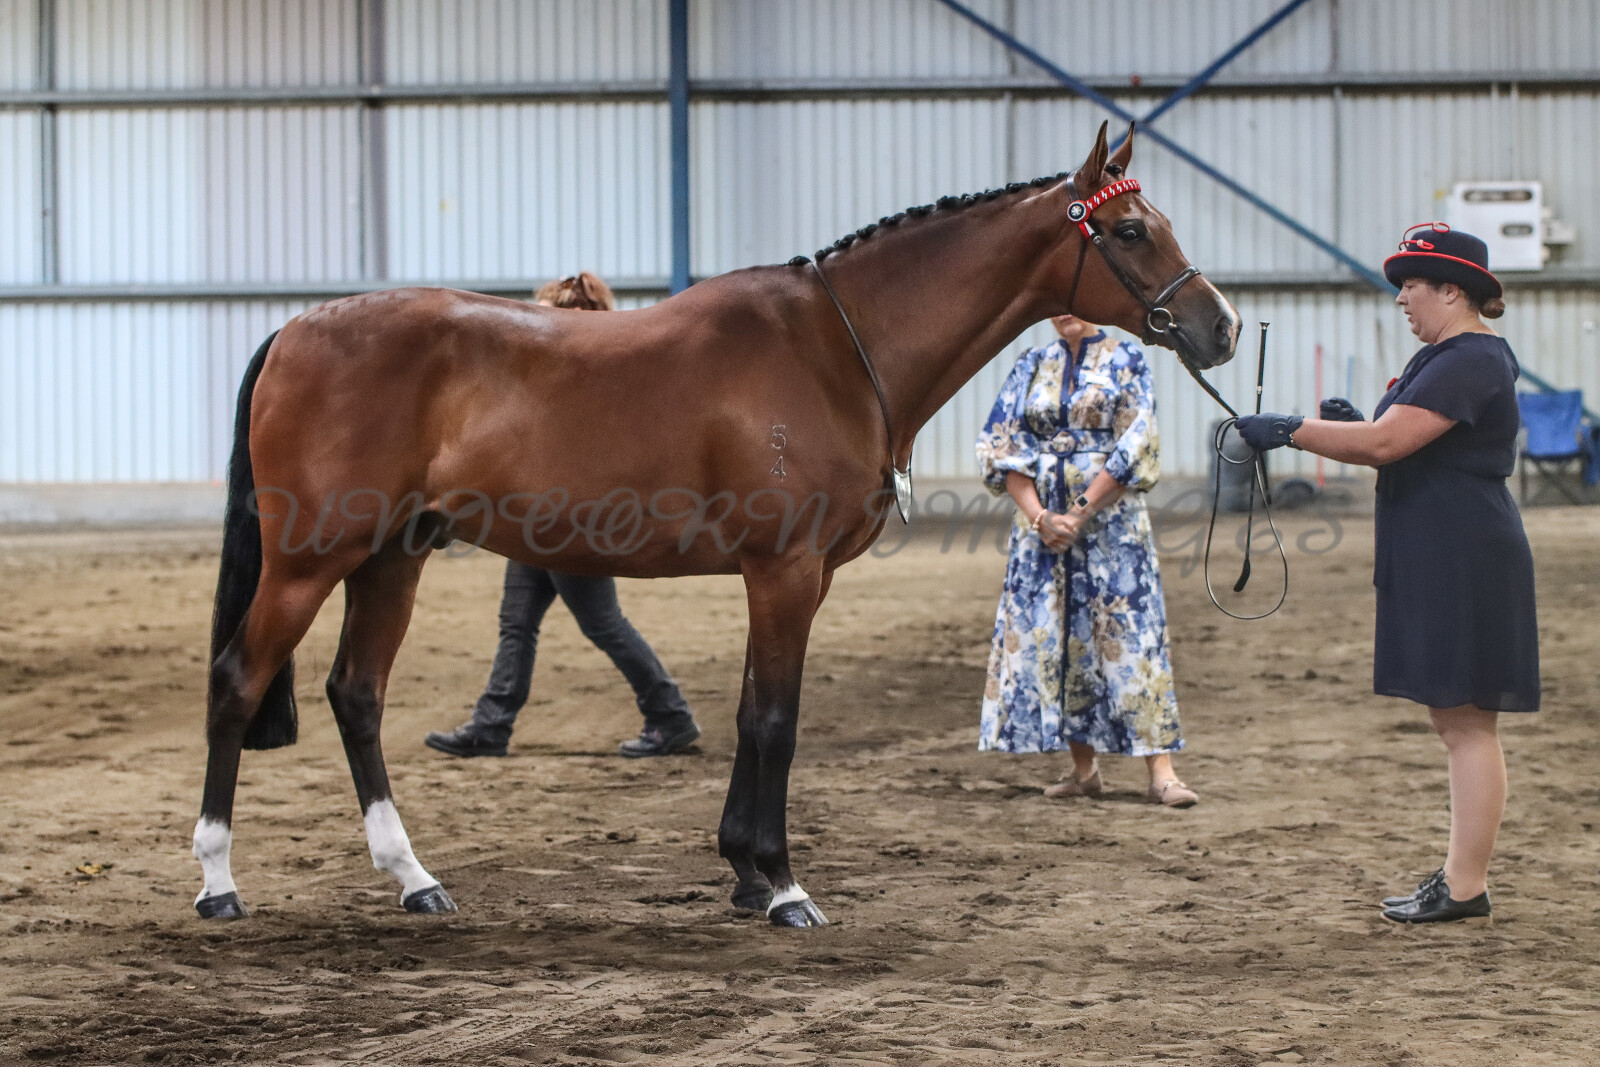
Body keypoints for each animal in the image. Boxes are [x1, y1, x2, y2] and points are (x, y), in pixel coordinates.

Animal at [192, 121, 1239, 928]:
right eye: (1131, 229)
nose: (1221, 325)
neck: (835, 348)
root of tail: (295, 329)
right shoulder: (785, 571)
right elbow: (775, 719)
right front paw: (782, 886)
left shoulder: (787, 577)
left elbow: (747, 712)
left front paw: (742, 869)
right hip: (307, 560)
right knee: (239, 681)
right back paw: (218, 883)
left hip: (389, 558)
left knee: (357, 695)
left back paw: (414, 878)